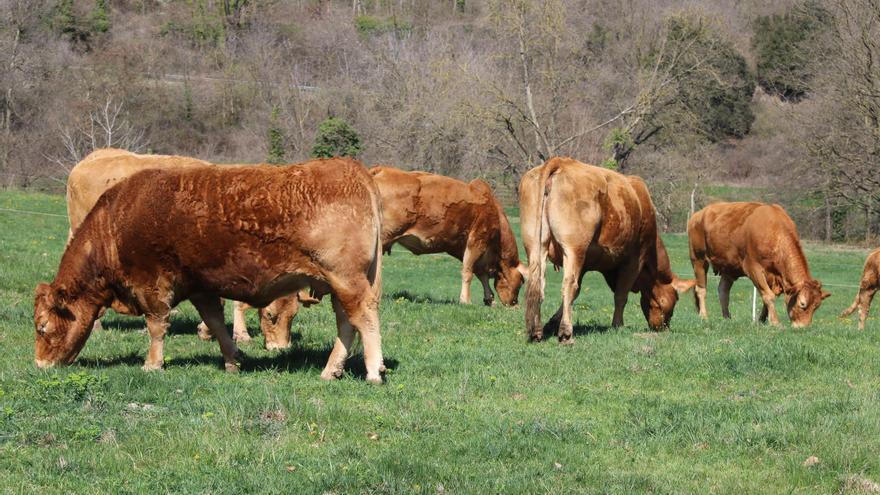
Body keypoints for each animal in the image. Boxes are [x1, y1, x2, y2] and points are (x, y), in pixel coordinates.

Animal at [34, 159, 384, 384]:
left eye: (41, 327)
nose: (40, 365)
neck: (116, 223)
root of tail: (351, 168)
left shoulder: (152, 286)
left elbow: (156, 326)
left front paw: (152, 365)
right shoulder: (200, 288)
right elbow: (216, 323)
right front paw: (232, 361)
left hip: (347, 280)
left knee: (364, 319)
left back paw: (373, 371)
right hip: (339, 284)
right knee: (347, 324)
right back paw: (330, 371)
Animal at [368, 167, 524, 306]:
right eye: (522, 281)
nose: (515, 304)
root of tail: (382, 170)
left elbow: (481, 274)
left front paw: (489, 299)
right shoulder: (477, 240)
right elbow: (468, 272)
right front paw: (465, 301)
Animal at [516, 157, 696, 342]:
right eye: (675, 299)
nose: (663, 328)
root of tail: (560, 161)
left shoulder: (586, 263)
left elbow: (578, 291)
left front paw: (552, 323)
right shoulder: (634, 259)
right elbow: (620, 295)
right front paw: (617, 324)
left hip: (535, 246)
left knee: (538, 283)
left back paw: (536, 332)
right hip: (574, 248)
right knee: (568, 285)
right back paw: (566, 332)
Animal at [688, 200, 832, 328]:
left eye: (816, 306)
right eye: (802, 304)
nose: (803, 327)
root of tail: (698, 214)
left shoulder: (772, 276)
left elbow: (766, 297)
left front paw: (762, 320)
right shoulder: (753, 268)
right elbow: (768, 295)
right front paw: (775, 323)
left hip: (729, 267)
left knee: (723, 290)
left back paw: (727, 317)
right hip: (698, 259)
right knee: (701, 289)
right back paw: (704, 316)